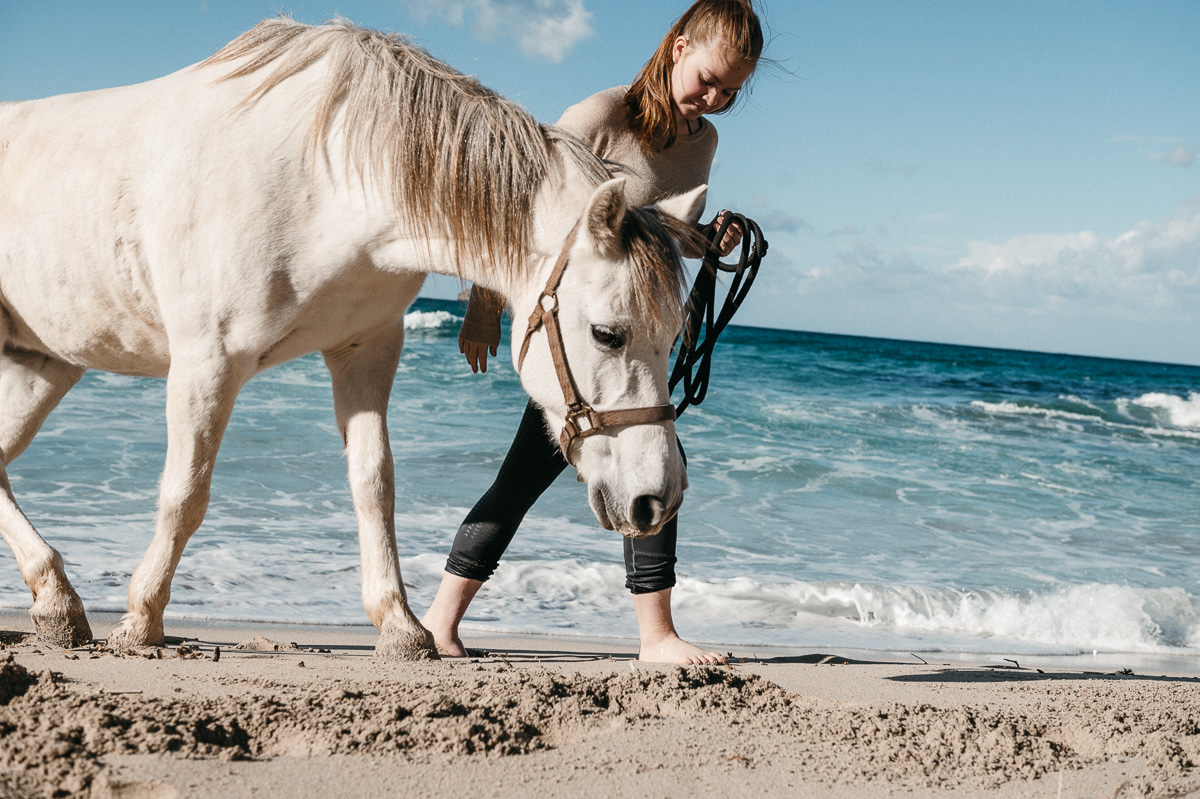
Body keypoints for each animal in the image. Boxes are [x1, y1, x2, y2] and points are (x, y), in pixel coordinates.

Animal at [0, 18, 704, 659]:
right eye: (608, 334)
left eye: (675, 336)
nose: (659, 501)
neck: (323, 175)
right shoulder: (208, 362)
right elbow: (186, 494)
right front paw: (141, 620)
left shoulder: (365, 353)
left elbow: (375, 485)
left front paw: (400, 624)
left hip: (44, 363)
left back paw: (56, 603)